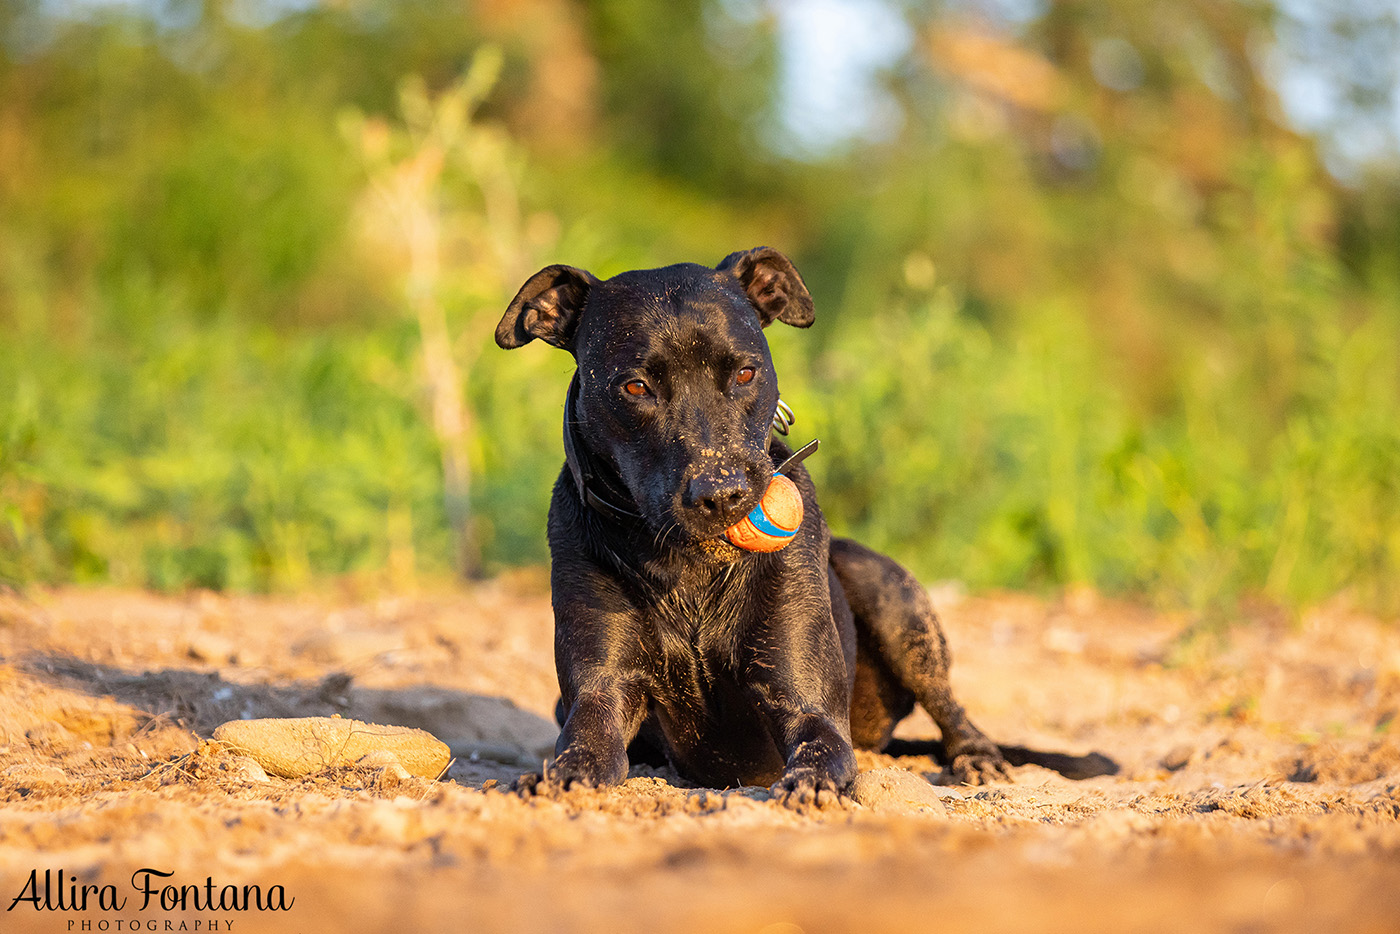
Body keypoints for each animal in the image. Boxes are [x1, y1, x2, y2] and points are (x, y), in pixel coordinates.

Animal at [498, 247, 1108, 812]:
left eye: (746, 373)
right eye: (635, 387)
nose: (723, 494)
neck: (692, 564)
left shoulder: (804, 699)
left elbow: (821, 746)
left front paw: (814, 783)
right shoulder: (600, 691)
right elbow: (585, 742)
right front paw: (562, 775)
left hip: (892, 600)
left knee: (950, 707)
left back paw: (976, 757)